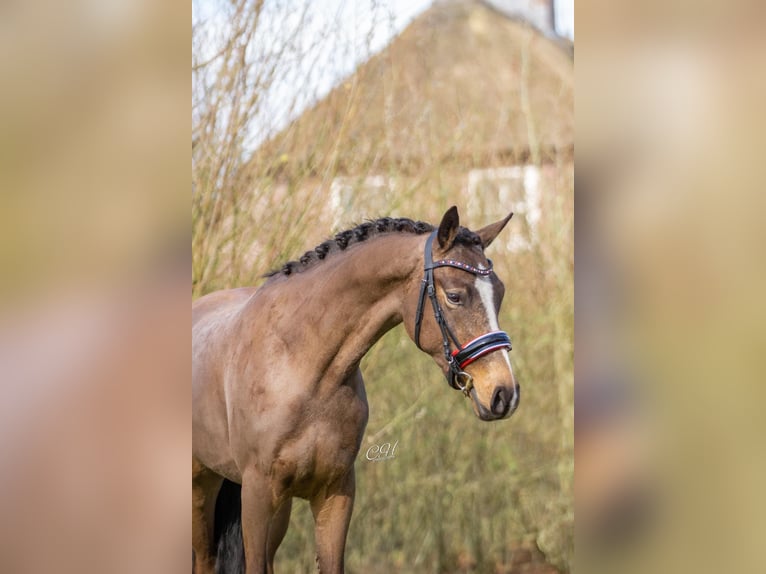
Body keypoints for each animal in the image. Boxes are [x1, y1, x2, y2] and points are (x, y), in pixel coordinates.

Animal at [192, 208, 520, 574]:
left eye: (499, 293)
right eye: (454, 296)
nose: (503, 393)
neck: (304, 369)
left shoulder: (335, 492)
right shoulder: (257, 494)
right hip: (200, 489)